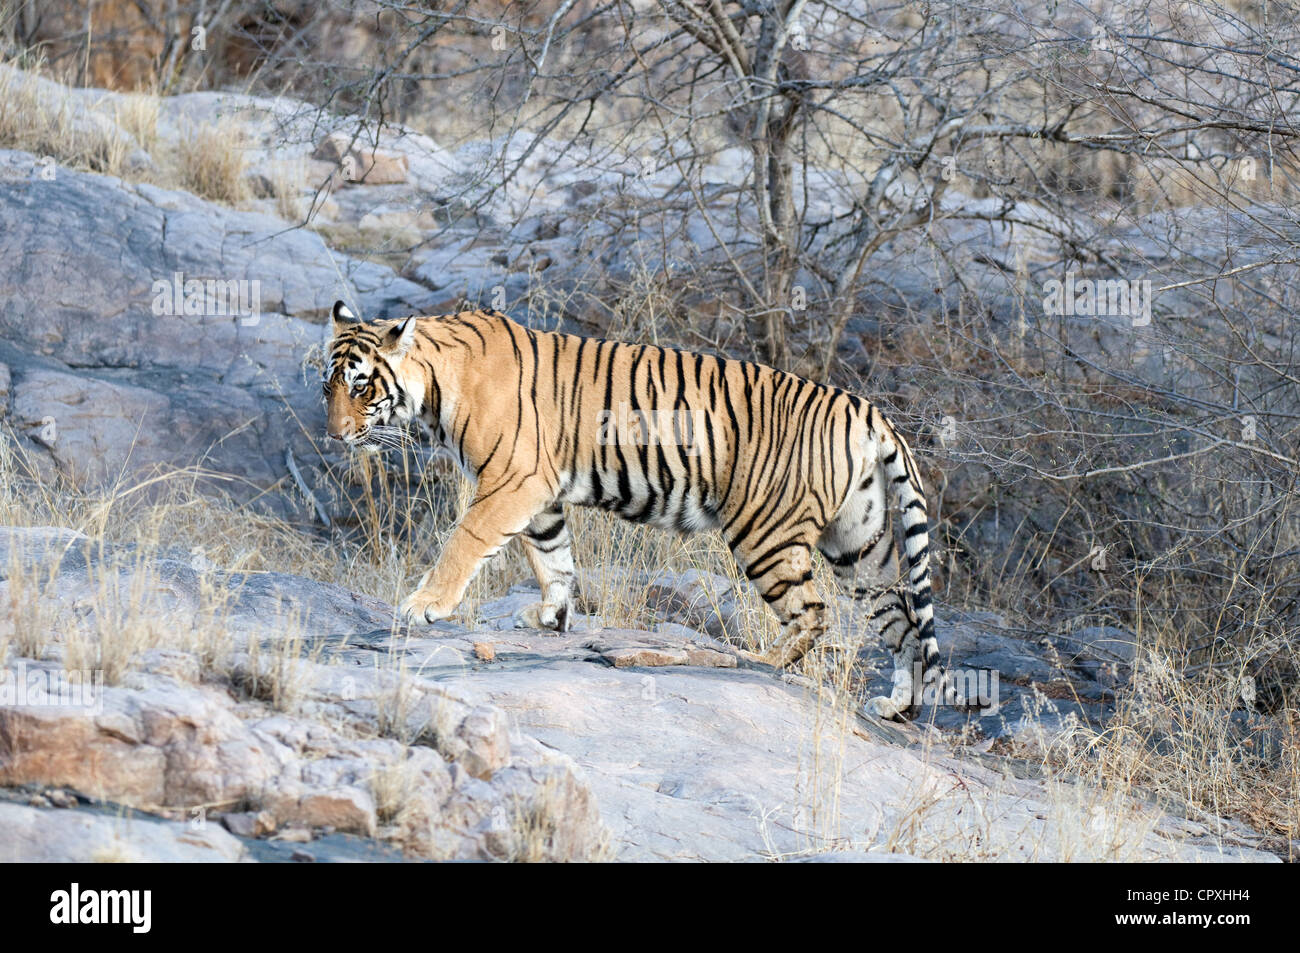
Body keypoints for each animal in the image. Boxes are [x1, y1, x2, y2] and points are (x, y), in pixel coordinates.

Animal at [325, 301, 967, 717]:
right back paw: (896, 708)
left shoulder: (512, 479)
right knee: (902, 621)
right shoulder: (540, 491)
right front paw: (551, 618)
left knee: (812, 611)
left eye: (360, 385)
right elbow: (552, 557)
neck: (434, 386)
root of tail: (867, 410)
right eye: (326, 382)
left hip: (766, 534)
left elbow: (465, 541)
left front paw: (423, 606)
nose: (334, 435)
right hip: (858, 546)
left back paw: (760, 660)